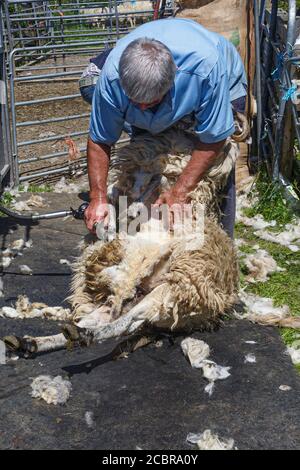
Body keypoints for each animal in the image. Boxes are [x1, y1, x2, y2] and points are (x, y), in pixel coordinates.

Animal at [2, 129, 241, 356]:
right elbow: (124, 197)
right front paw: (112, 218)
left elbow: (150, 190)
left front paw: (130, 210)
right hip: (134, 300)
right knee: (106, 319)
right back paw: (35, 342)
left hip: (170, 291)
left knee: (125, 323)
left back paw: (82, 334)